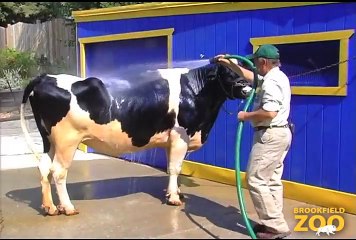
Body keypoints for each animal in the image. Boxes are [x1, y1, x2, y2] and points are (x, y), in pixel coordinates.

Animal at [20, 61, 252, 216]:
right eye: (228, 73)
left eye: (243, 69)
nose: (248, 88)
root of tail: (44, 77)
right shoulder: (181, 136)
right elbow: (175, 167)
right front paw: (174, 198)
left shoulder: (171, 139)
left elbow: (172, 166)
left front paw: (175, 192)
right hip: (67, 141)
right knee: (58, 171)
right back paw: (67, 208)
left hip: (49, 140)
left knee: (44, 168)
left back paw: (50, 207)